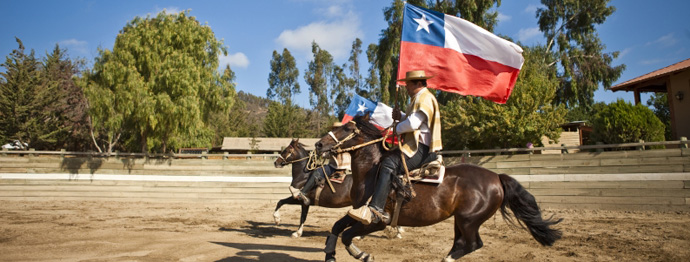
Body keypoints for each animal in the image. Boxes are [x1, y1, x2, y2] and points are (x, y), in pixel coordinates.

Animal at [314, 115, 560, 262]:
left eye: (347, 128)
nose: (319, 144)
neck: (372, 173)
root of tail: (497, 178)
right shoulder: (357, 212)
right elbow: (337, 227)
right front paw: (330, 254)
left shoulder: (377, 221)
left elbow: (347, 236)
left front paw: (362, 254)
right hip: (461, 220)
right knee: (462, 243)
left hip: (469, 220)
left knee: (473, 243)